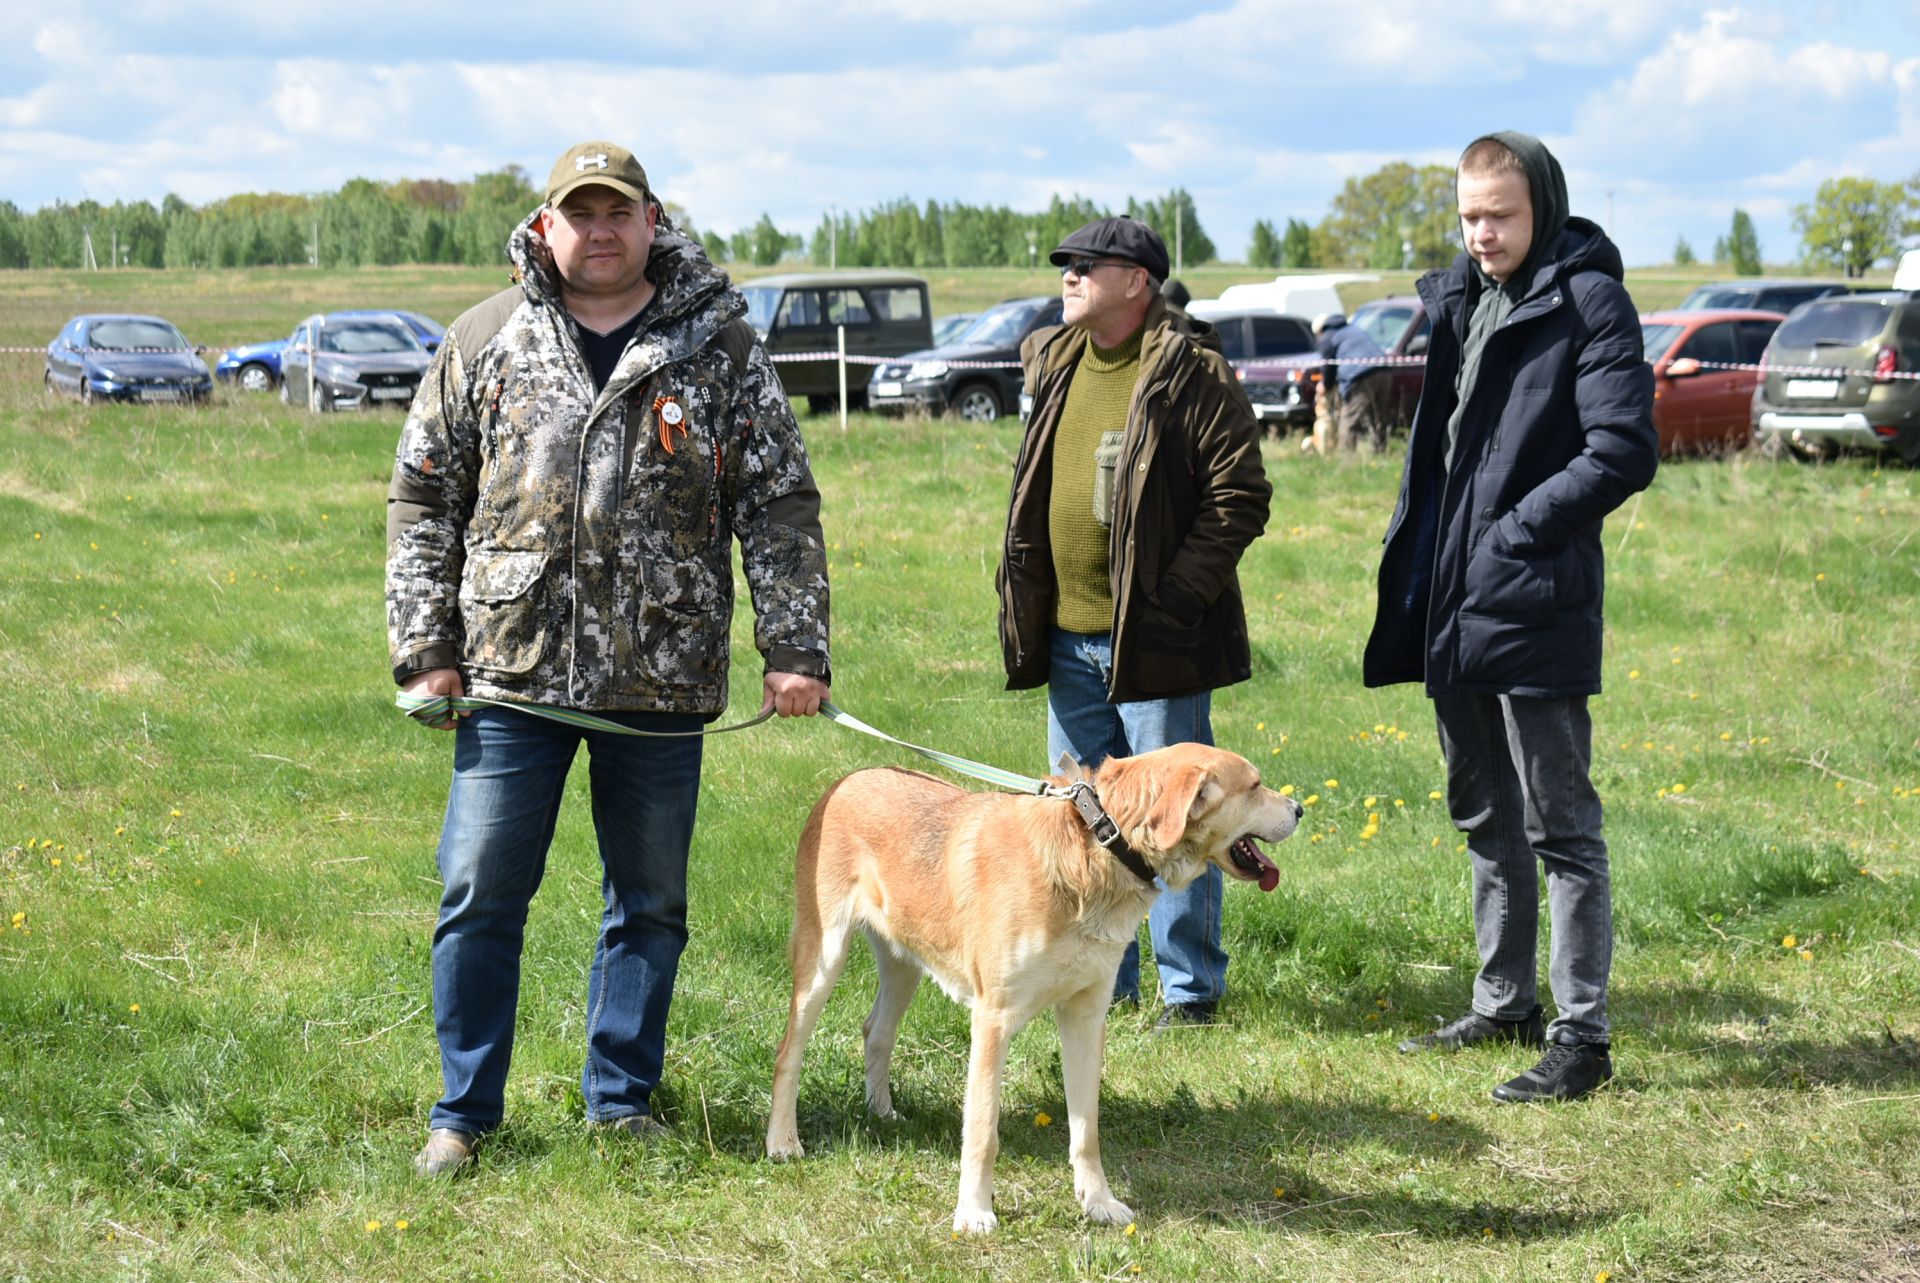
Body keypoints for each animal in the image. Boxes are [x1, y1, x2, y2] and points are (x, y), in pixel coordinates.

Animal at [764, 741, 1305, 1229]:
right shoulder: (993, 1020)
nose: (1299, 809)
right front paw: (974, 1212)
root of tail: (847, 779)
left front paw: (1098, 1202)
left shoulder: (1086, 1014)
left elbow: (1086, 1129)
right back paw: (782, 1142)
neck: (1099, 846)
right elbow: (983, 1131)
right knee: (789, 1050)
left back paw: (882, 1113)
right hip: (822, 958)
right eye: (1254, 786)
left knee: (876, 1031)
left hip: (904, 964)